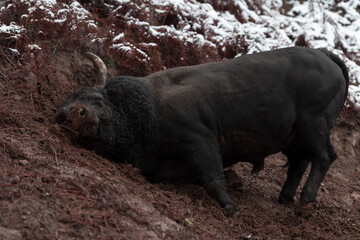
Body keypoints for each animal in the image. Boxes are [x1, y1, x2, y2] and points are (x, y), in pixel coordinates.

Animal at [56, 47, 348, 216]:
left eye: (97, 100)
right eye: (63, 114)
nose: (76, 113)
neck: (150, 107)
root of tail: (325, 55)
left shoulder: (199, 141)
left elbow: (213, 177)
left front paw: (230, 207)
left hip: (313, 126)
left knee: (324, 157)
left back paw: (305, 201)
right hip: (294, 137)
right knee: (299, 163)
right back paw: (285, 199)